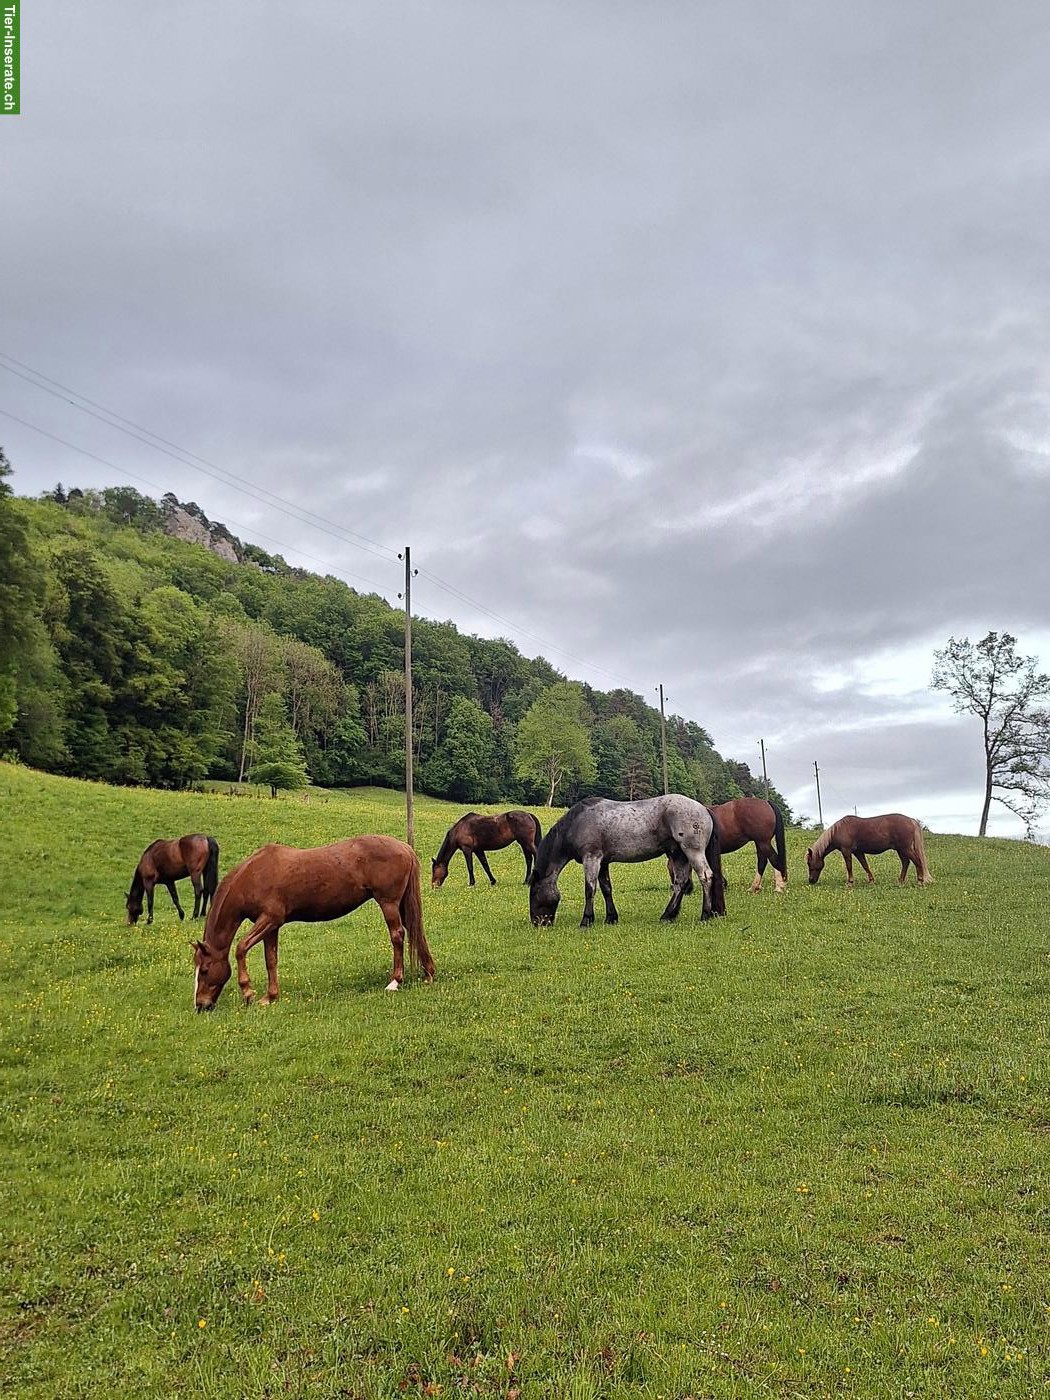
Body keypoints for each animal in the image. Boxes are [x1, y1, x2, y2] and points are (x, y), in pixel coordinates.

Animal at [192, 835, 435, 1011]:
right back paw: (428, 973)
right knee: (415, 931)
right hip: (401, 904)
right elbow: (271, 960)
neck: (254, 875)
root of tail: (405, 847)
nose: (201, 1005)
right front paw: (270, 997)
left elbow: (241, 948)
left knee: (397, 936)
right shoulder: (271, 927)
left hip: (389, 903)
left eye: (204, 970)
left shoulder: (269, 920)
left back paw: (395, 982)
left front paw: (248, 992)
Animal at [529, 794, 726, 928]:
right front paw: (611, 917)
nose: (537, 922)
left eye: (534, 893)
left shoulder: (591, 858)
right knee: (680, 884)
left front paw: (586, 920)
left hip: (692, 851)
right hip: (678, 855)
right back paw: (668, 915)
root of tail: (704, 809)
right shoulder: (603, 862)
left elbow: (590, 889)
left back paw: (705, 914)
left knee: (706, 877)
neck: (577, 822)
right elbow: (606, 889)